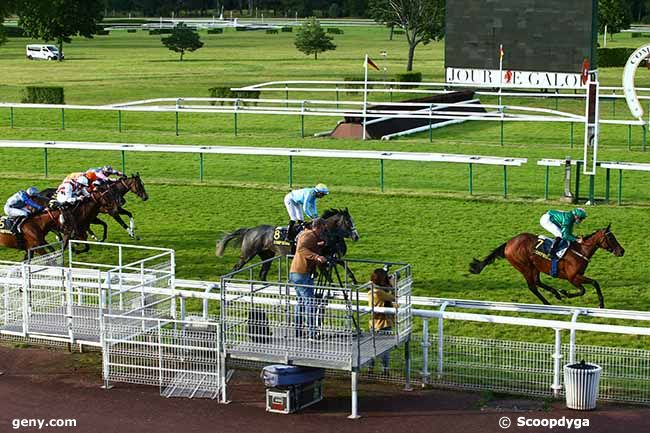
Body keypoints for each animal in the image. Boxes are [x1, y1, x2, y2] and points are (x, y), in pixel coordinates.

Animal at [216, 208, 360, 280]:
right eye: (348, 222)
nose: (356, 236)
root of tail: (250, 230)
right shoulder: (320, 258)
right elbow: (327, 275)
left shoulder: (331, 257)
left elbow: (346, 267)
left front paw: (353, 280)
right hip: (248, 254)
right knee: (236, 267)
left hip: (267, 256)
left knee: (263, 273)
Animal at [468, 224, 624, 308]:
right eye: (610, 238)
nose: (621, 251)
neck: (580, 250)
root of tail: (508, 243)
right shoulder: (572, 277)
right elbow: (585, 288)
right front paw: (566, 292)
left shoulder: (576, 277)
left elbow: (592, 285)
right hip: (524, 266)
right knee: (532, 286)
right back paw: (548, 302)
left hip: (535, 266)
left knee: (537, 281)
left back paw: (555, 294)